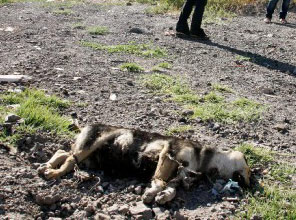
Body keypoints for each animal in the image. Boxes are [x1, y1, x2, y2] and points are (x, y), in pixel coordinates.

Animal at [37, 124, 250, 205]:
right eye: (248, 164)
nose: (252, 184)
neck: (202, 158)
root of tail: (85, 126)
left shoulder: (178, 175)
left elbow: (171, 187)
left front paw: (163, 197)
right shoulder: (169, 153)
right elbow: (160, 181)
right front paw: (151, 193)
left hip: (87, 156)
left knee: (62, 152)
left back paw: (46, 167)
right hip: (92, 142)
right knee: (69, 159)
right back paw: (53, 173)